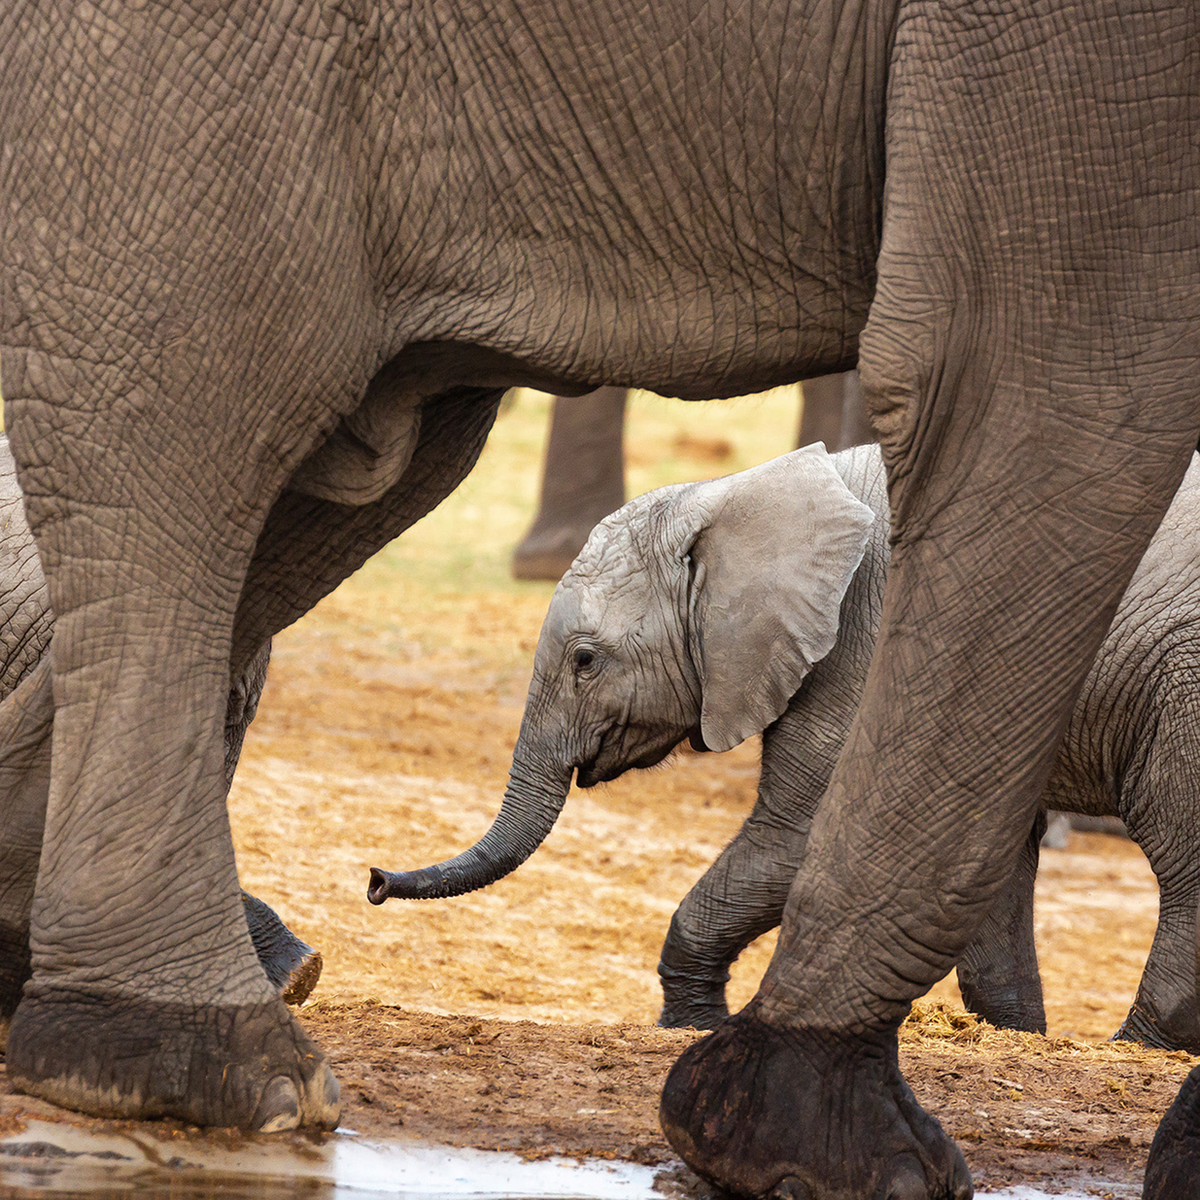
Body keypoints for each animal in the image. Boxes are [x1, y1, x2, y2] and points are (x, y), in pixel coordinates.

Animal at [375, 441, 1200, 1054]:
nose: (376, 880)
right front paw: (1015, 1036)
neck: (744, 496)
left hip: (1184, 683)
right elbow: (982, 855)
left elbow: (809, 835)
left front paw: (694, 1028)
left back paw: (1140, 1046)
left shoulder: (871, 646)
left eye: (584, 660)